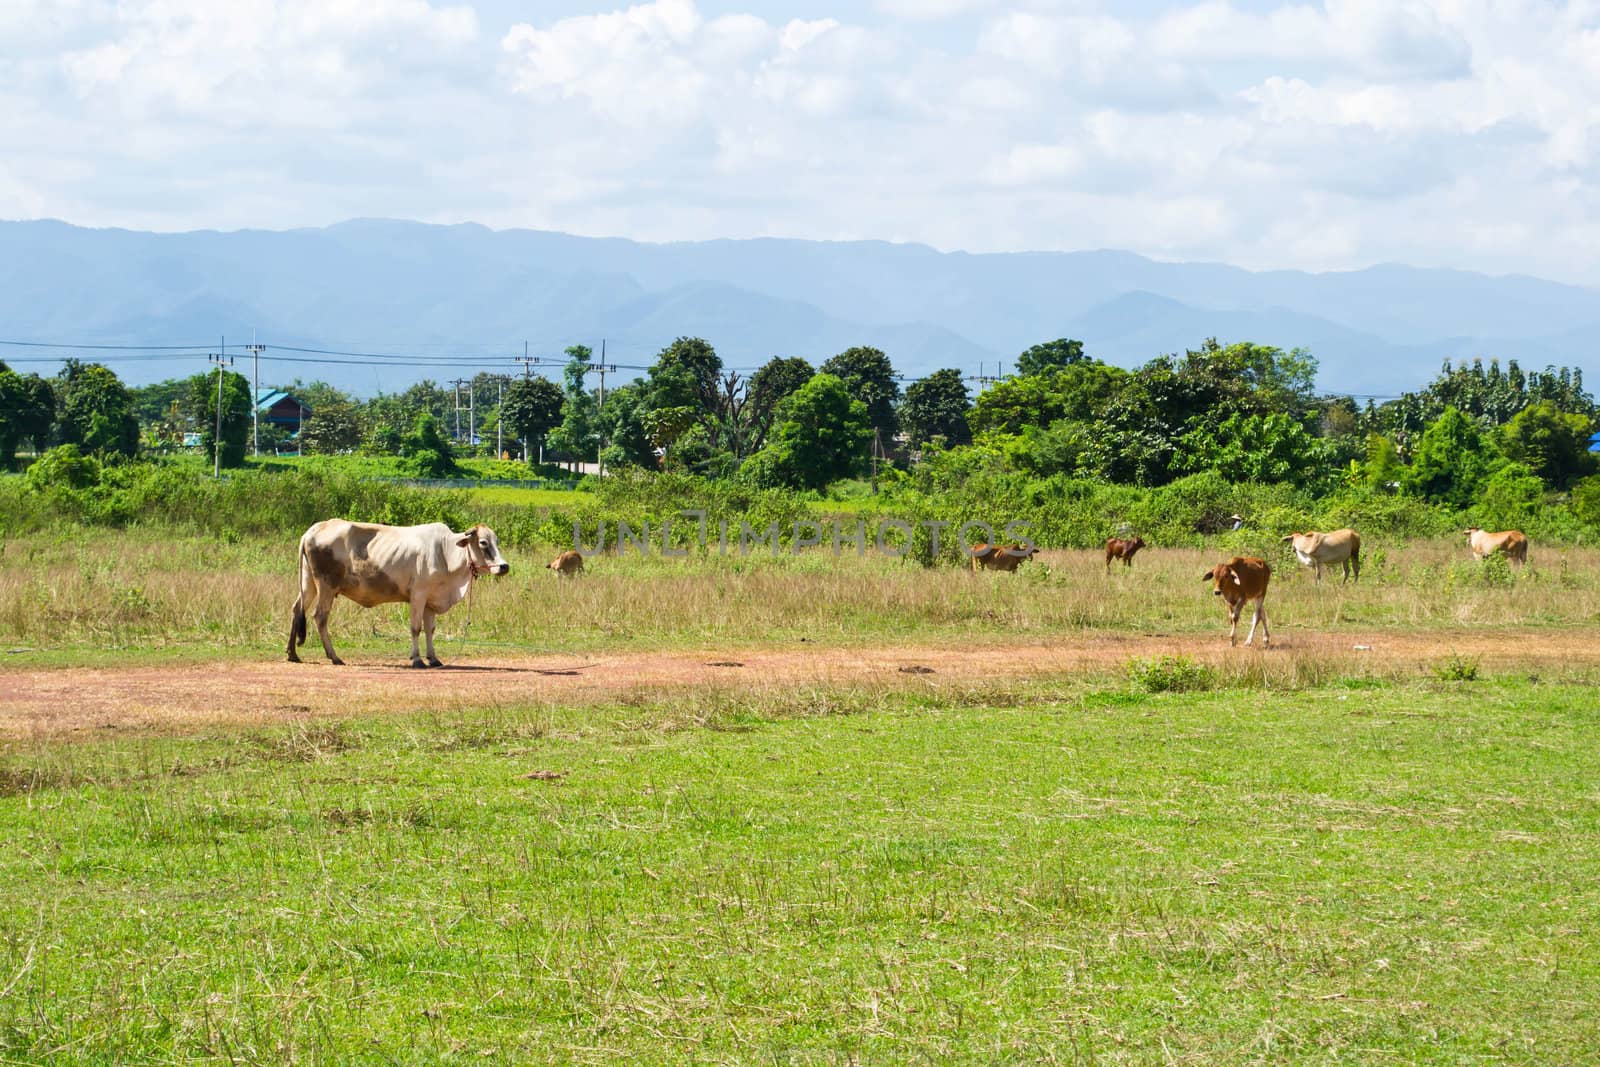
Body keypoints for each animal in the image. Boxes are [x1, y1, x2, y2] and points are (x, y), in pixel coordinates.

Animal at [288, 518, 508, 668]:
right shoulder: (418, 595)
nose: (504, 566)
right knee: (320, 617)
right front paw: (417, 659)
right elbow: (415, 628)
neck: (445, 552)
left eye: (496, 541)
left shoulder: (430, 600)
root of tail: (312, 531)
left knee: (297, 609)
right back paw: (334, 656)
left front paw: (433, 658)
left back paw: (292, 654)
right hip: (326, 586)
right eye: (483, 542)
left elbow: (430, 630)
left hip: (308, 583)